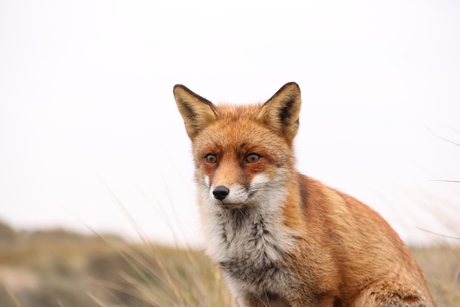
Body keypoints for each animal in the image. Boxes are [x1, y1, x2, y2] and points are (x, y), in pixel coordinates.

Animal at [173, 82, 434, 307]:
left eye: (252, 157)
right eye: (211, 158)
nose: (219, 192)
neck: (253, 250)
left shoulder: (315, 293)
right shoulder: (249, 295)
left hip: (373, 293)